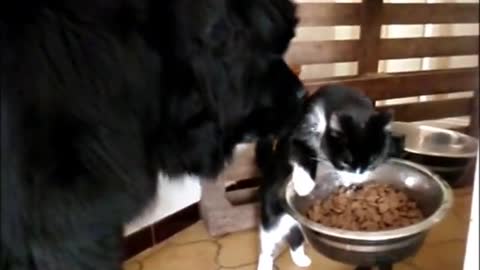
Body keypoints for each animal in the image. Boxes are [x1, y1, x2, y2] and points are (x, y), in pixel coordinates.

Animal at [253, 85, 396, 270]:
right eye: (346, 162)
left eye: (372, 161)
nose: (357, 176)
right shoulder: (299, 130)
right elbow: (300, 150)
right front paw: (304, 185)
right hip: (273, 212)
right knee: (268, 241)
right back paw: (265, 263)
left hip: (296, 222)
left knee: (295, 236)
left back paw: (301, 259)